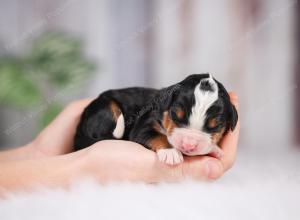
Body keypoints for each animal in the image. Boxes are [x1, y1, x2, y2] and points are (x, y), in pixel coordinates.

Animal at [74, 74, 238, 165]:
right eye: (175, 115)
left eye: (215, 126)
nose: (188, 145)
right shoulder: (143, 125)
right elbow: (158, 136)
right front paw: (171, 152)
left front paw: (215, 149)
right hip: (105, 107)